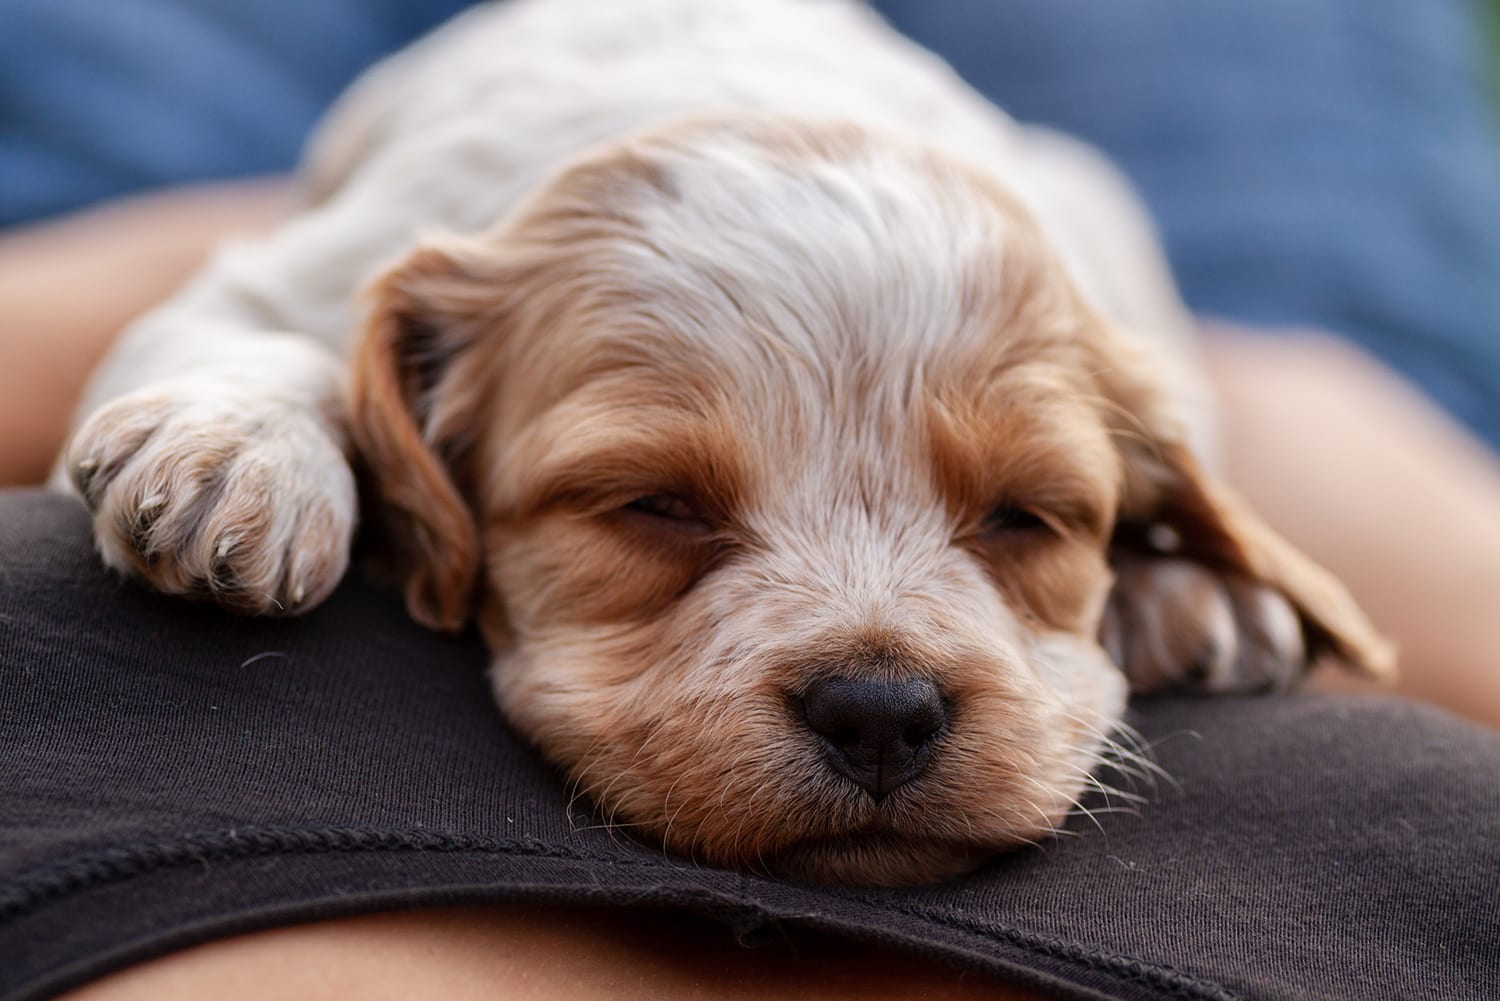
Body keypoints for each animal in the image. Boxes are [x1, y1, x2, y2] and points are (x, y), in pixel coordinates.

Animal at [58, 0, 1392, 882]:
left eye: (1027, 516)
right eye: (654, 504)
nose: (882, 710)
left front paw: (1189, 577)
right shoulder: (307, 258)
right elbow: (273, 329)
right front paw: (238, 451)